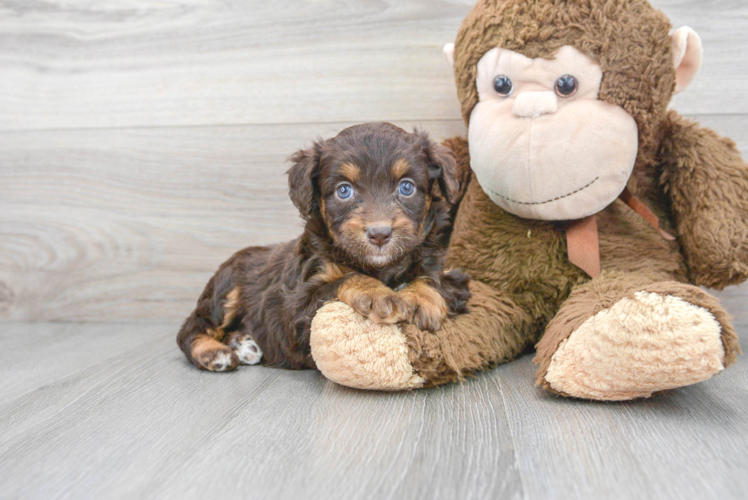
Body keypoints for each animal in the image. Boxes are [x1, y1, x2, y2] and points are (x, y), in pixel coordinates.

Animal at [177, 122, 468, 372]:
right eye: (344, 190)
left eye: (406, 187)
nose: (380, 234)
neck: (381, 267)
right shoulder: (296, 310)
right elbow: (345, 279)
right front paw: (378, 294)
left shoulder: (453, 277)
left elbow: (434, 278)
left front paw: (420, 297)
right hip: (226, 288)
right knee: (190, 329)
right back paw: (215, 352)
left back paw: (244, 343)